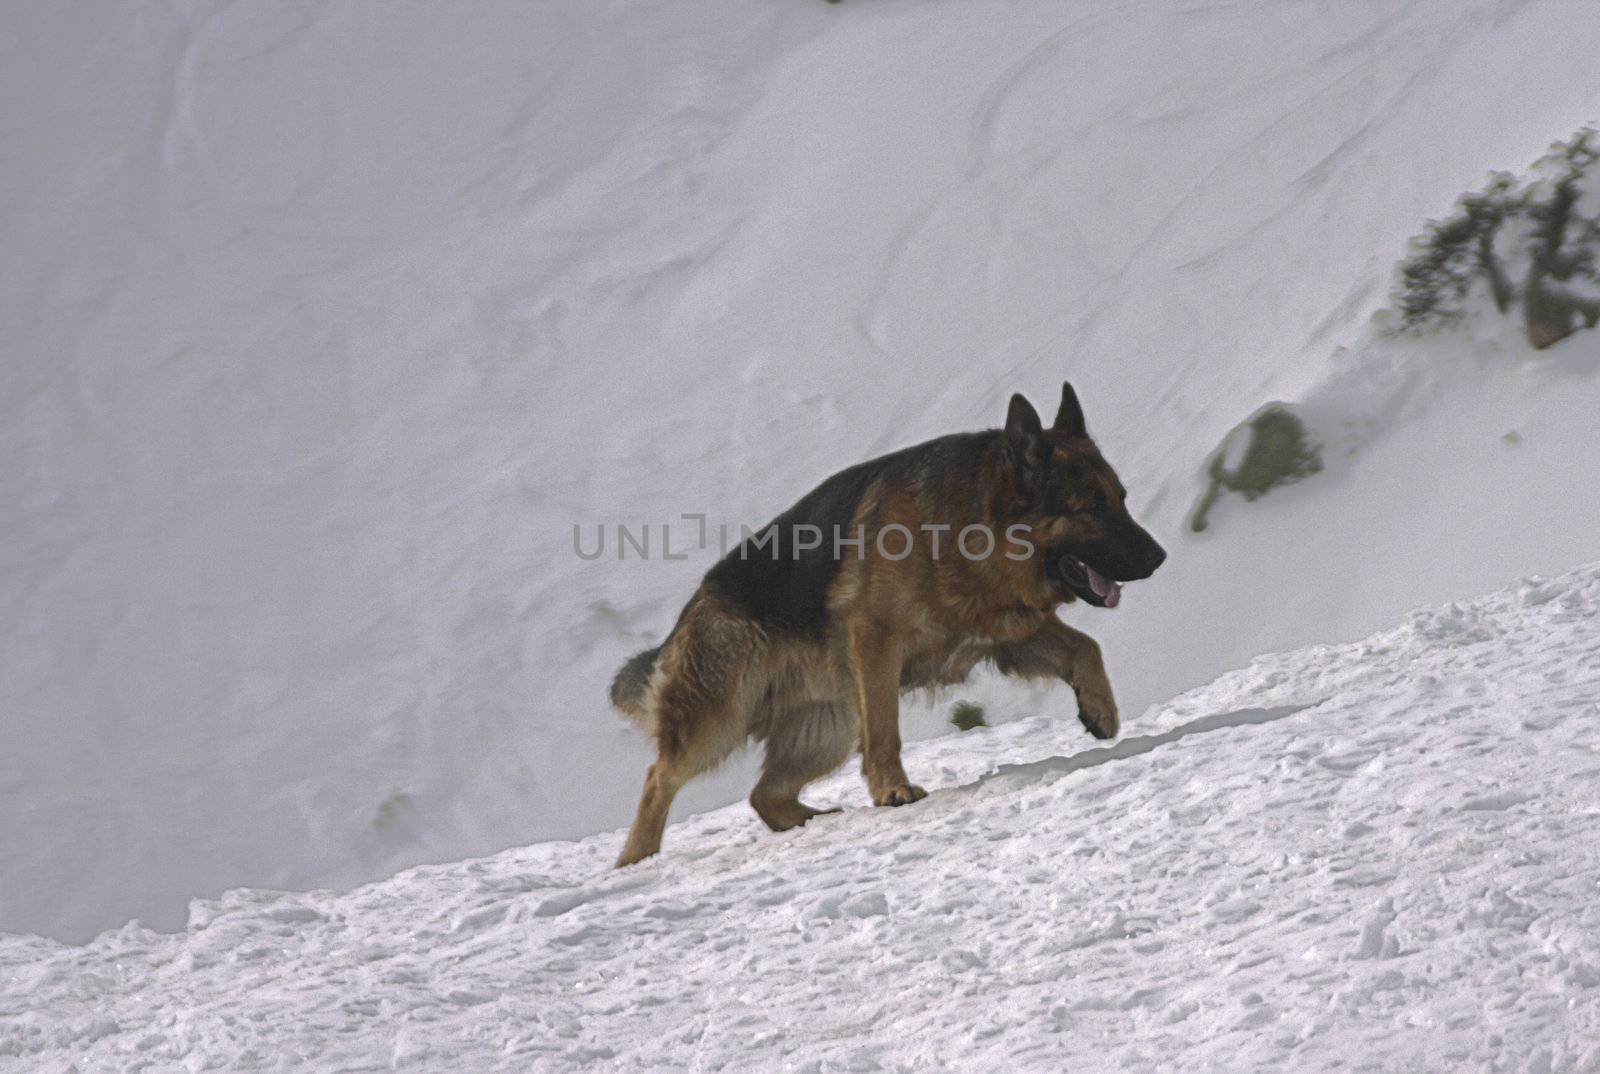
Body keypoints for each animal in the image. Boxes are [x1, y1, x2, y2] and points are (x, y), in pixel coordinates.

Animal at [608, 382, 1164, 870]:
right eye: (1092, 507)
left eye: (1122, 498)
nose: (1159, 557)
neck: (969, 528)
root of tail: (692, 609)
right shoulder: (877, 645)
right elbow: (885, 728)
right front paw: (892, 790)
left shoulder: (1007, 636)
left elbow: (1087, 646)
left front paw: (1101, 709)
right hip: (719, 720)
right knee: (659, 777)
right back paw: (637, 862)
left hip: (827, 728)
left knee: (764, 795)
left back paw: (814, 820)